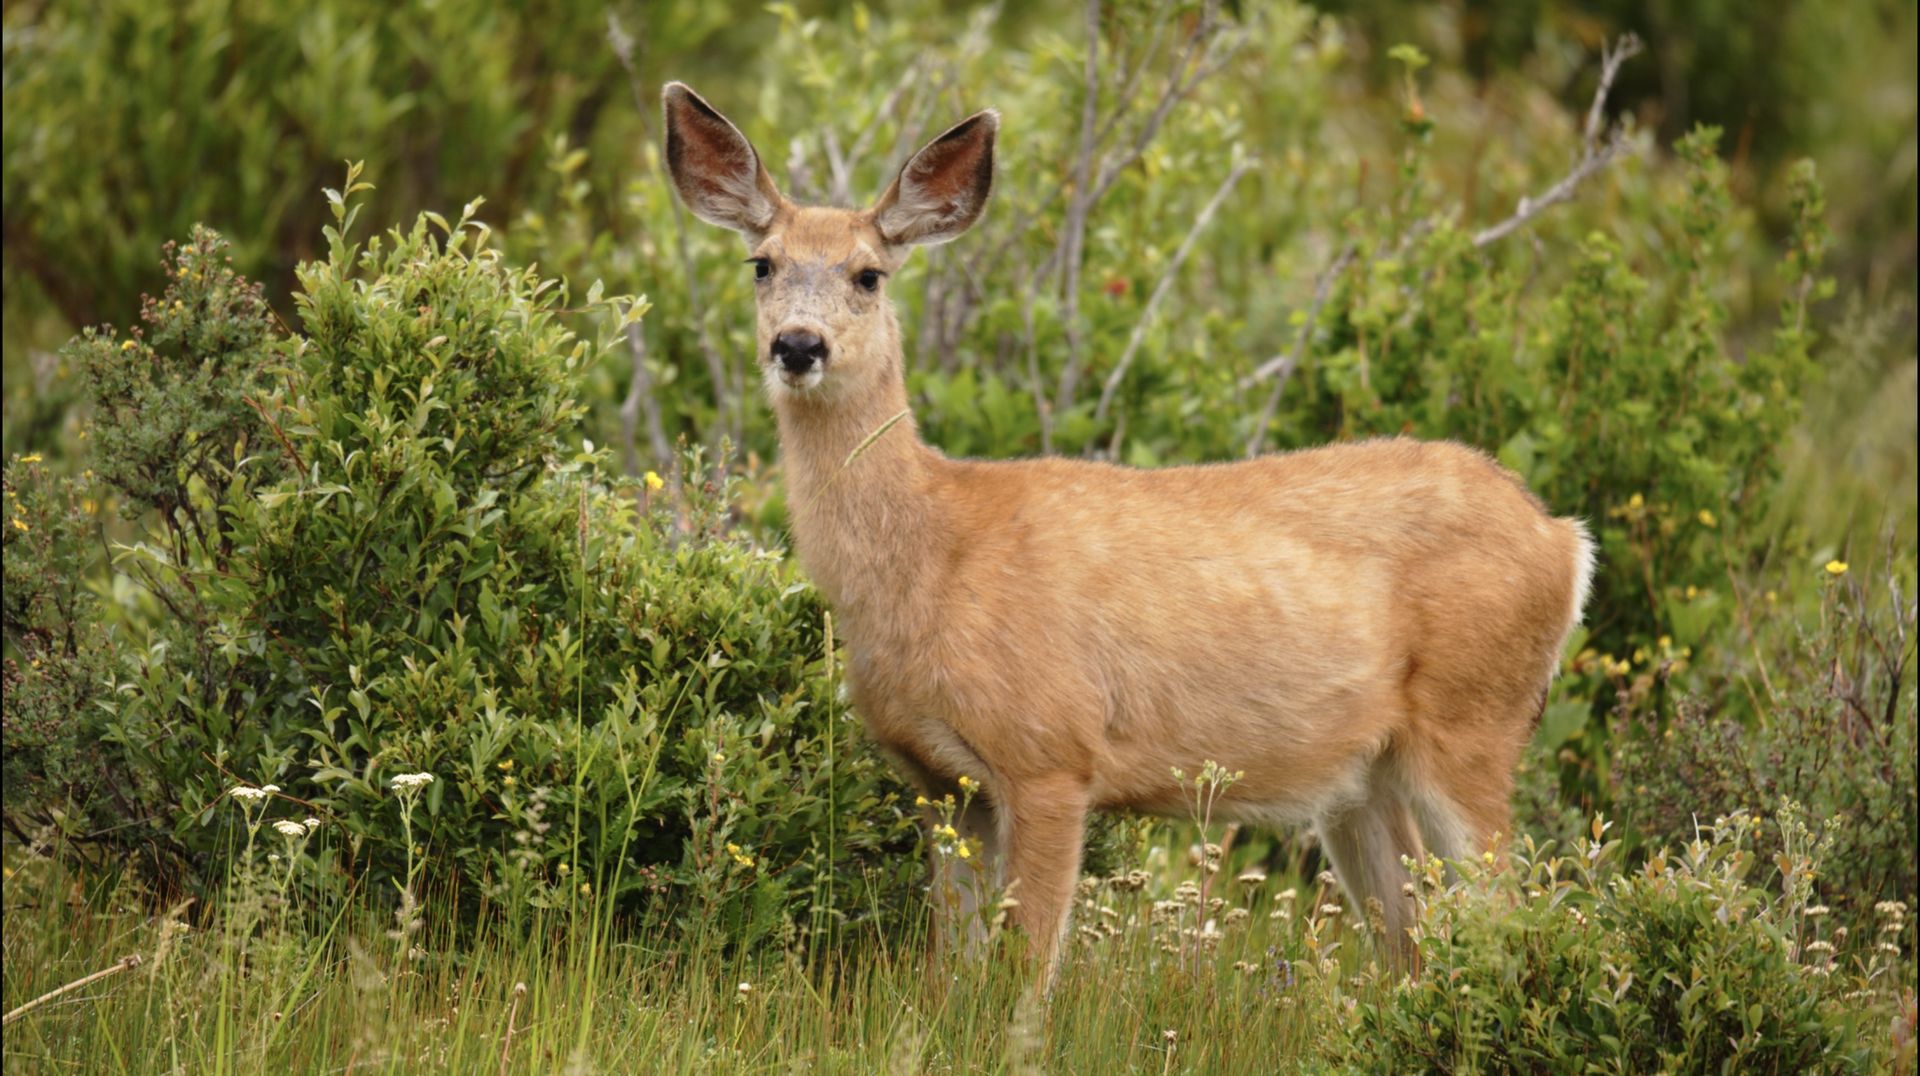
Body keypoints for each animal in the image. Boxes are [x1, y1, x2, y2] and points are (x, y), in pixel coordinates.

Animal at [660, 82, 1597, 986]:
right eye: (762, 264)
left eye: (868, 275)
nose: (798, 345)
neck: (933, 552)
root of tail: (1565, 537)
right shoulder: (940, 780)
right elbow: (949, 971)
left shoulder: (1051, 754)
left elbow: (1025, 977)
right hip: (1366, 776)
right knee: (1413, 940)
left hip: (1473, 719)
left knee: (1510, 914)